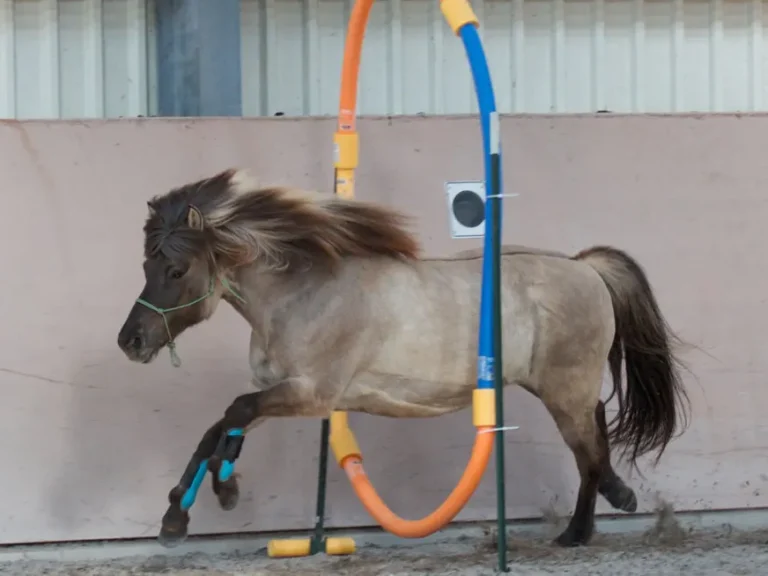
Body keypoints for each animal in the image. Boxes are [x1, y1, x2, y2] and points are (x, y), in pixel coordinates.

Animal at [116, 168, 690, 549]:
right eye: (146, 265)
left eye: (176, 270)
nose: (131, 342)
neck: (302, 292)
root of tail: (585, 267)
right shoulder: (283, 393)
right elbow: (219, 428)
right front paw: (180, 516)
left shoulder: (311, 394)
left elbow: (231, 414)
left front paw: (222, 490)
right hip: (567, 388)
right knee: (597, 428)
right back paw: (612, 501)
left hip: (564, 388)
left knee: (587, 446)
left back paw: (578, 529)